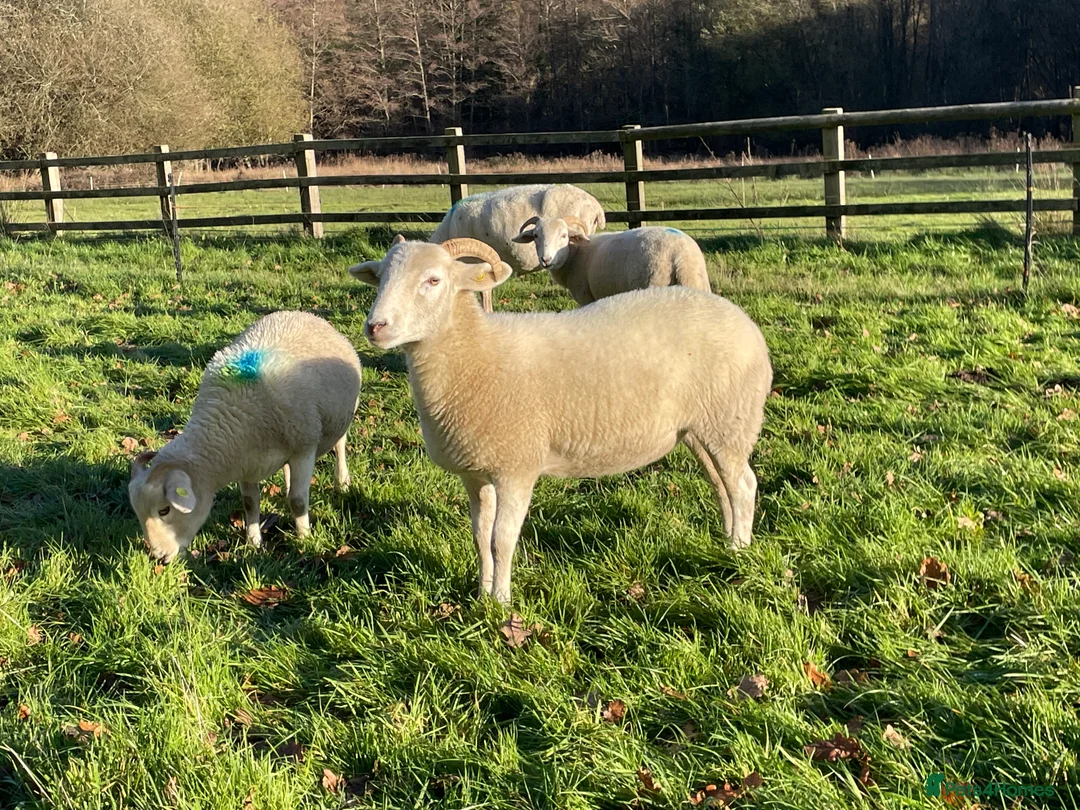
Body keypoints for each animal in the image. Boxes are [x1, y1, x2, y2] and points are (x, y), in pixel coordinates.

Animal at [128, 311, 362, 562]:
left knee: (340, 445)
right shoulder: (247, 463)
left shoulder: (304, 448)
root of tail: (301, 313)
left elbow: (298, 501)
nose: (159, 558)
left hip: (341, 416)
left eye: (164, 510)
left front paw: (304, 539)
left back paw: (342, 481)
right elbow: (250, 503)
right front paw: (254, 542)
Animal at [348, 235, 771, 605]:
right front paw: (481, 593)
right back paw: (727, 539)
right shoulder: (475, 472)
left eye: (433, 280)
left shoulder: (516, 467)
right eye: (381, 277)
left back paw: (740, 550)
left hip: (729, 420)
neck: (475, 353)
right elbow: (480, 536)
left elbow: (502, 538)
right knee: (722, 485)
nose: (375, 327)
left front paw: (501, 603)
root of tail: (745, 322)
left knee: (744, 485)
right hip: (700, 429)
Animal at [513, 217, 711, 305]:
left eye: (563, 235)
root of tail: (679, 255)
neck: (574, 256)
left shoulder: (586, 297)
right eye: (535, 236)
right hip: (698, 284)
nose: (545, 259)